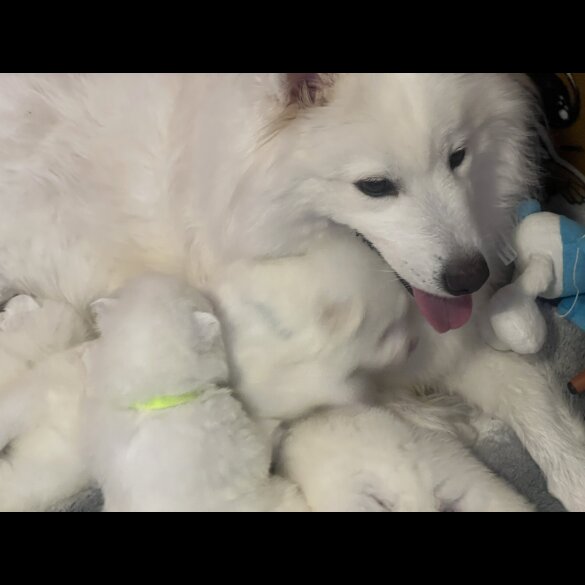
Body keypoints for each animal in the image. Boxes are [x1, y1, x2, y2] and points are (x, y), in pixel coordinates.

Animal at [0, 73, 580, 508]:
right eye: (375, 186)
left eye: (458, 156)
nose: (469, 276)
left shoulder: (452, 343)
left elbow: (530, 393)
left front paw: (571, 474)